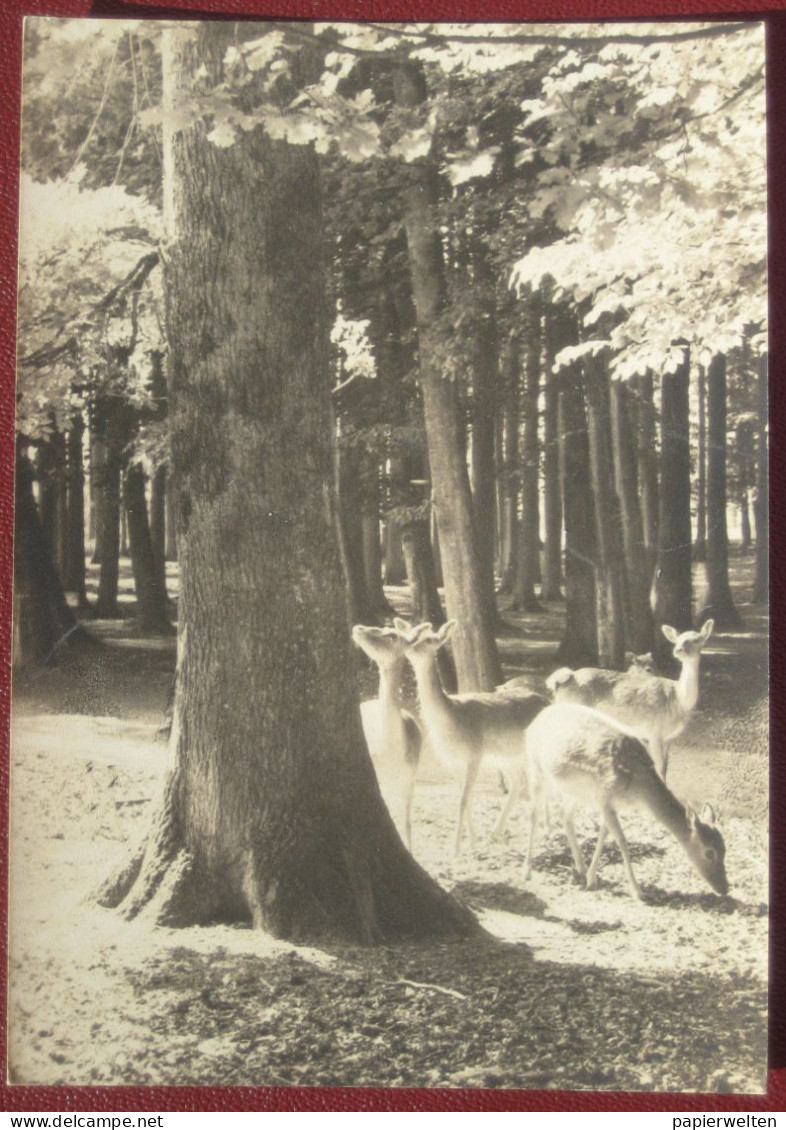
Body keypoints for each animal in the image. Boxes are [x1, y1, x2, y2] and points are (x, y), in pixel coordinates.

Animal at [393, 619, 546, 854]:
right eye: (410, 633)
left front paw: (455, 848)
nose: (408, 647)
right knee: (518, 784)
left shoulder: (475, 754)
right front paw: (473, 841)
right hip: (508, 757)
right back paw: (494, 834)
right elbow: (465, 797)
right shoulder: (452, 761)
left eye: (428, 639)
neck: (450, 722)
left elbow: (463, 800)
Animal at [524, 696, 727, 899]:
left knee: (565, 817)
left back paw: (580, 867)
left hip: (576, 791)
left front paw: (591, 878)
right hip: (536, 769)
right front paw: (637, 891)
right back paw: (527, 871)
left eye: (725, 848)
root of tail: (536, 719)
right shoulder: (605, 797)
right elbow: (622, 840)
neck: (638, 788)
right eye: (709, 852)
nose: (724, 889)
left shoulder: (612, 804)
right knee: (533, 814)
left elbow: (604, 835)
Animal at [546, 619, 713, 786]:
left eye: (696, 639)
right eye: (677, 640)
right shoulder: (653, 731)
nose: (678, 650)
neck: (678, 701)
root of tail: (558, 682)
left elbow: (665, 767)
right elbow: (659, 766)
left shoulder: (667, 739)